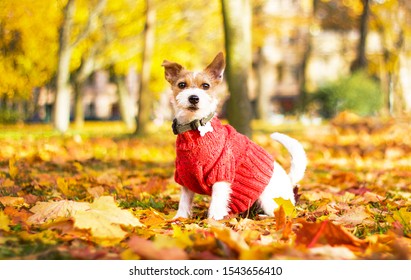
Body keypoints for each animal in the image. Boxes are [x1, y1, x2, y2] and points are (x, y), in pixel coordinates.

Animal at [163, 51, 308, 220]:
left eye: (206, 86)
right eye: (181, 85)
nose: (193, 98)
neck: (195, 127)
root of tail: (288, 182)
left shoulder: (222, 173)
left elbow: (217, 202)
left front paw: (214, 221)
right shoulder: (186, 177)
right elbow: (184, 201)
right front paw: (179, 218)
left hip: (268, 199)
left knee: (282, 213)